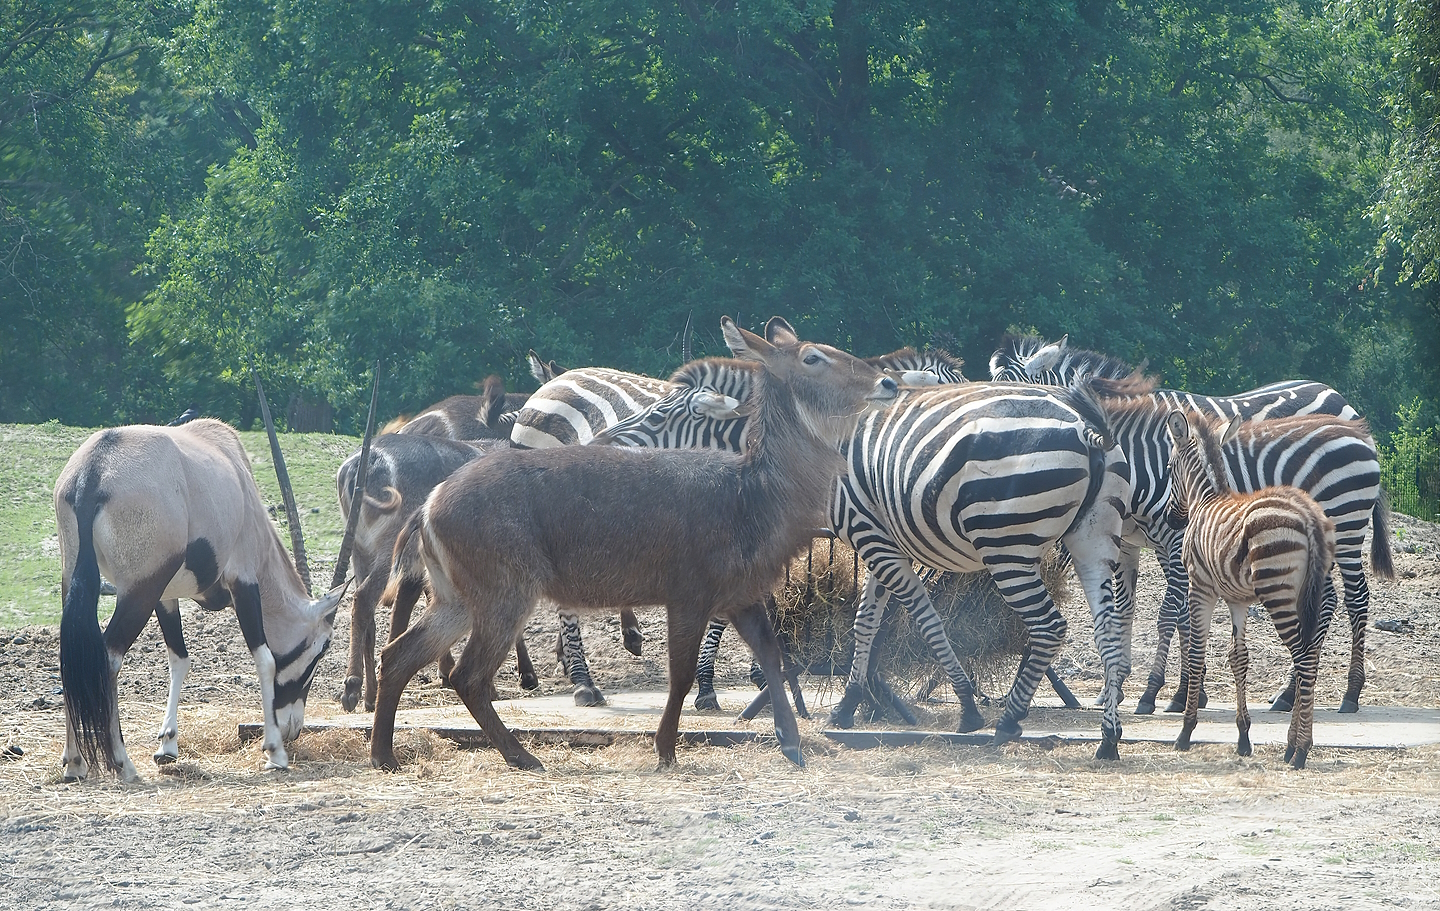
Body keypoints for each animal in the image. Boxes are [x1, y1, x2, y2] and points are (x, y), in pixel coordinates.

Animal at [988, 334, 1388, 715]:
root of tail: (1354, 424)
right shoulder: (1137, 542)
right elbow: (1135, 608)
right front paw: (1131, 687)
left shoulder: (1172, 540)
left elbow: (1171, 613)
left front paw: (1159, 692)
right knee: (1323, 599)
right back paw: (1290, 693)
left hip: (1347, 526)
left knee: (1355, 597)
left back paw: (1349, 693)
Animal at [1164, 411, 1337, 770]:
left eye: (1171, 467)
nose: (1172, 520)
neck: (1207, 498)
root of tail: (1308, 514)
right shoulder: (1238, 600)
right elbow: (1238, 658)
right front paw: (1244, 738)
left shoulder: (1199, 588)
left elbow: (1197, 654)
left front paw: (1185, 732)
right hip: (1308, 592)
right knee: (1311, 657)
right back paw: (1292, 745)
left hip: (1277, 591)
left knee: (1302, 657)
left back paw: (1301, 750)